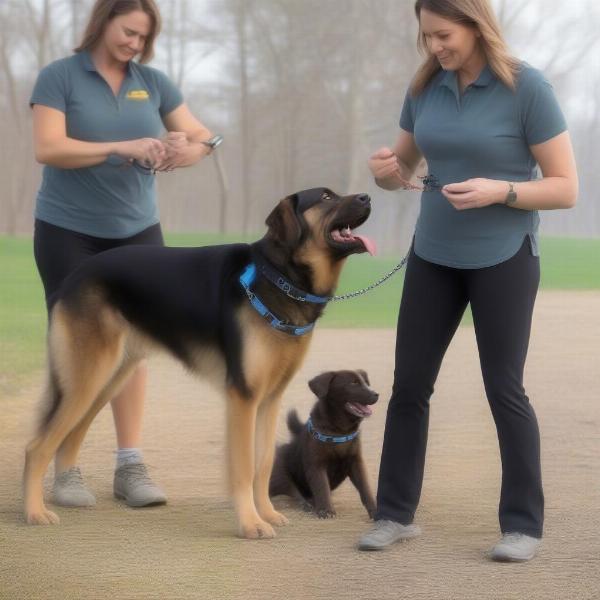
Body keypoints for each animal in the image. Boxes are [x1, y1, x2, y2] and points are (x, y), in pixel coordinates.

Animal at [270, 368, 378, 516]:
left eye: (365, 383)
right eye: (353, 383)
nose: (376, 394)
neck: (339, 432)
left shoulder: (356, 462)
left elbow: (365, 487)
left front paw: (374, 510)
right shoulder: (316, 465)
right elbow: (321, 487)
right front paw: (326, 510)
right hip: (281, 472)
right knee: (293, 492)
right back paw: (307, 504)